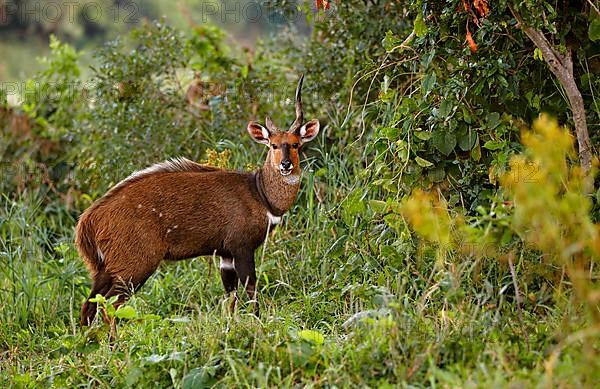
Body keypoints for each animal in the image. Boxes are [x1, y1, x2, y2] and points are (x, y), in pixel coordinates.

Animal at [78, 75, 322, 324]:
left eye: (295, 144)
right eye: (273, 145)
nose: (285, 164)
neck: (261, 194)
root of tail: (88, 221)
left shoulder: (225, 254)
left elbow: (230, 296)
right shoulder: (241, 246)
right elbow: (250, 288)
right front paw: (257, 322)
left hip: (104, 269)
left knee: (89, 305)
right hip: (136, 264)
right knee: (109, 306)